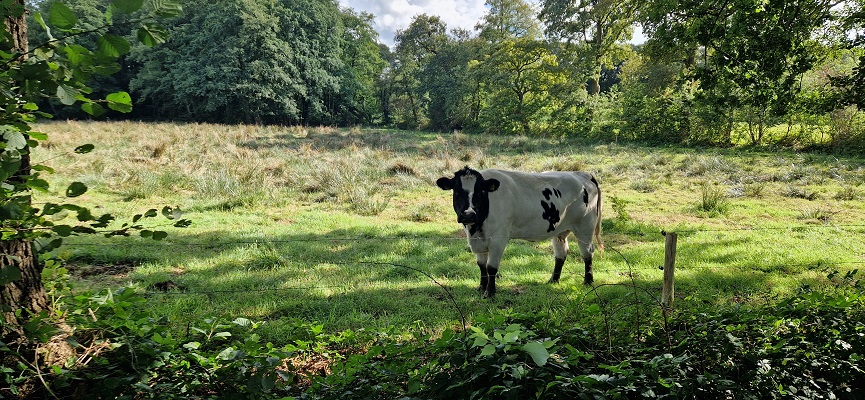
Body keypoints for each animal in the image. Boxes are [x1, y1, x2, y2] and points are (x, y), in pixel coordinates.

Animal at [436, 166, 604, 296]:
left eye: (479, 192)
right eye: (457, 191)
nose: (468, 214)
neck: (476, 227)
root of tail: (582, 174)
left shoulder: (498, 238)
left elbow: (491, 267)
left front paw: (490, 292)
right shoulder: (477, 240)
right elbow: (481, 265)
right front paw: (481, 287)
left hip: (585, 227)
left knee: (587, 253)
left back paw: (588, 281)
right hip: (559, 231)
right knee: (561, 254)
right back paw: (553, 280)